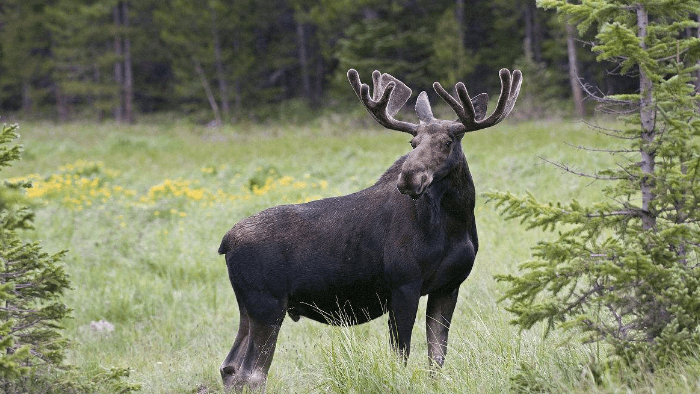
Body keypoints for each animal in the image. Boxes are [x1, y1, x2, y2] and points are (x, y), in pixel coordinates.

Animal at [217, 67, 520, 390]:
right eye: (413, 143)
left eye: (448, 142)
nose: (409, 177)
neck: (455, 224)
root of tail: (227, 242)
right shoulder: (403, 284)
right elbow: (401, 353)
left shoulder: (448, 286)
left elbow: (436, 357)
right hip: (267, 304)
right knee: (252, 373)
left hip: (248, 306)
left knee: (230, 366)